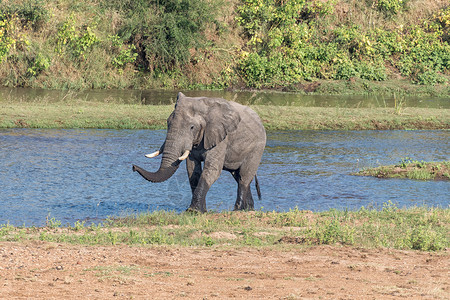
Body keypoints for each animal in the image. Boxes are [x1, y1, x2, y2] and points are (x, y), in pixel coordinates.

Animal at [134, 92, 268, 212]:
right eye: (168, 123)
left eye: (192, 127)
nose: (133, 167)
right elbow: (192, 171)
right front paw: (200, 210)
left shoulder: (220, 137)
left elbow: (212, 170)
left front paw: (194, 211)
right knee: (238, 176)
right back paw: (248, 209)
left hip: (257, 147)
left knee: (244, 177)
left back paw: (237, 210)